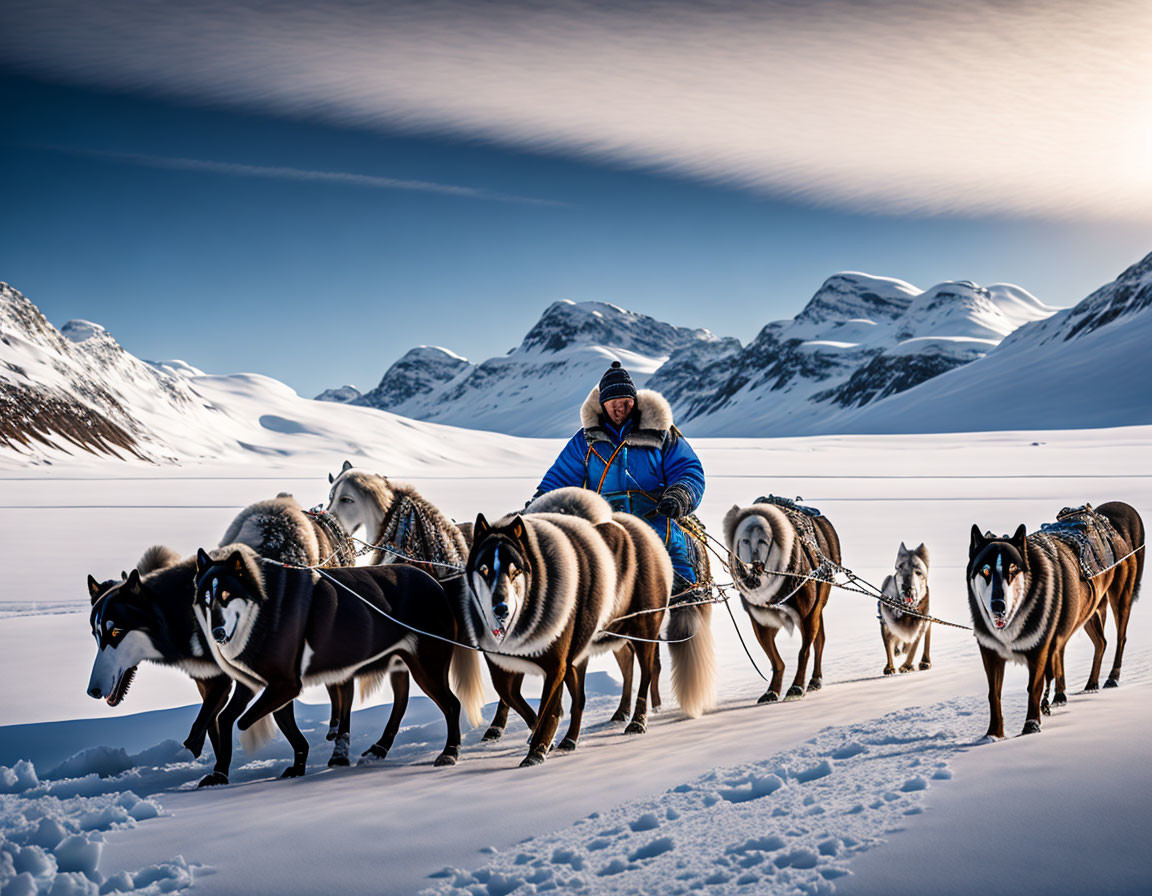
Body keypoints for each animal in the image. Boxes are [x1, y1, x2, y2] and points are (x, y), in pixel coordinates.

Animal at [193, 541, 481, 764]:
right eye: (206, 599)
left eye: (227, 595)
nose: (217, 632)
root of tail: (435, 583)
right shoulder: (258, 682)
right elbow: (227, 718)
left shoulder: (286, 684)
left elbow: (245, 720)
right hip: (401, 662)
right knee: (401, 702)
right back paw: (379, 748)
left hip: (428, 664)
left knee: (452, 704)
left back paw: (450, 752)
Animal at [723, 499, 843, 700]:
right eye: (744, 540)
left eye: (765, 540)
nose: (752, 568)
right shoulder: (761, 621)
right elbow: (776, 660)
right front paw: (772, 689)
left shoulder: (807, 615)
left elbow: (803, 651)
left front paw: (796, 686)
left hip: (817, 603)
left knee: (819, 641)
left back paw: (815, 678)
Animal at [875, 541, 930, 672]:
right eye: (900, 568)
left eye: (918, 572)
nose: (907, 587)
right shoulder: (885, 625)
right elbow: (888, 648)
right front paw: (889, 667)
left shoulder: (920, 625)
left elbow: (913, 648)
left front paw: (906, 665)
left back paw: (925, 662)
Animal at [972, 499, 1142, 737]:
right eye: (985, 571)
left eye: (1014, 569)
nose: (998, 605)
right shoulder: (990, 651)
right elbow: (994, 693)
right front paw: (993, 735)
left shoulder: (1040, 647)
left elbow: (1035, 686)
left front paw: (1031, 726)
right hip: (1087, 611)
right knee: (1099, 642)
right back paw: (1085, 686)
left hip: (1120, 596)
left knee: (1120, 638)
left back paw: (1112, 678)